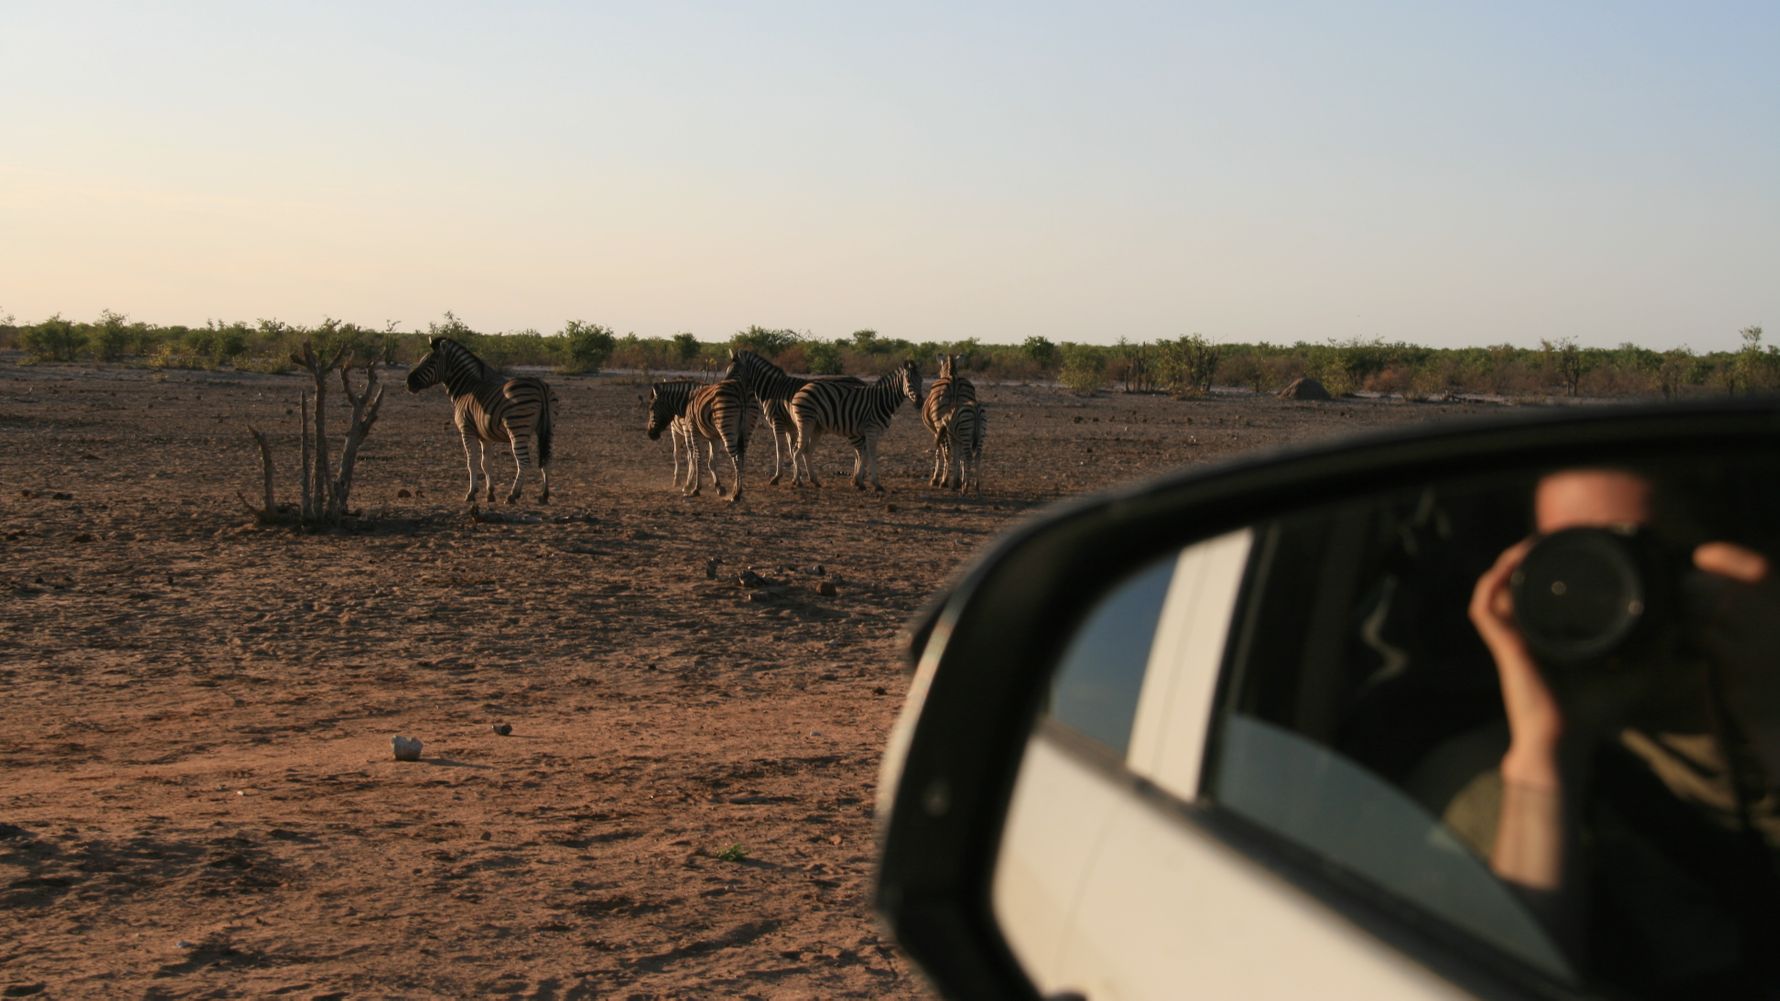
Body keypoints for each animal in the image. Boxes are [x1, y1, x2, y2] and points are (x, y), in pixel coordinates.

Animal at [405, 336, 555, 504]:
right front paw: (490, 493)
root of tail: (539, 385)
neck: (467, 389)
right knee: (546, 459)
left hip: (517, 428)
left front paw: (471, 493)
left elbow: (471, 462)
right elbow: (486, 464)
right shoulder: (485, 435)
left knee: (523, 462)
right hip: (548, 428)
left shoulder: (466, 430)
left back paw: (513, 495)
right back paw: (544, 495)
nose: (408, 382)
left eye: (431, 361)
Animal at [721, 349, 863, 485]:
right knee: (858, 451)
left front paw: (777, 477)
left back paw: (857, 479)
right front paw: (797, 478)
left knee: (859, 450)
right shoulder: (791, 427)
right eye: (727, 370)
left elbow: (780, 449)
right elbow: (793, 450)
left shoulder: (778, 422)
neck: (773, 390)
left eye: (735, 370)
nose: (723, 386)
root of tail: (860, 381)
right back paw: (855, 479)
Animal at [789, 359, 922, 491]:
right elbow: (871, 454)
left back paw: (814, 481)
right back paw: (797, 481)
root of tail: (803, 388)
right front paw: (876, 483)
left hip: (817, 427)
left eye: (921, 380)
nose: (919, 402)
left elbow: (864, 454)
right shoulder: (871, 429)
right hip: (805, 422)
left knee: (807, 451)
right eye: (909, 380)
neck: (883, 401)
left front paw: (859, 481)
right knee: (796, 449)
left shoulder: (872, 432)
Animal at [921, 353, 979, 489]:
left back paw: (944, 480)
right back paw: (958, 481)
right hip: (964, 421)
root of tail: (953, 380)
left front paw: (935, 478)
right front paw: (962, 479)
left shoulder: (936, 431)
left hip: (940, 422)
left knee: (947, 450)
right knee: (962, 451)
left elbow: (939, 451)